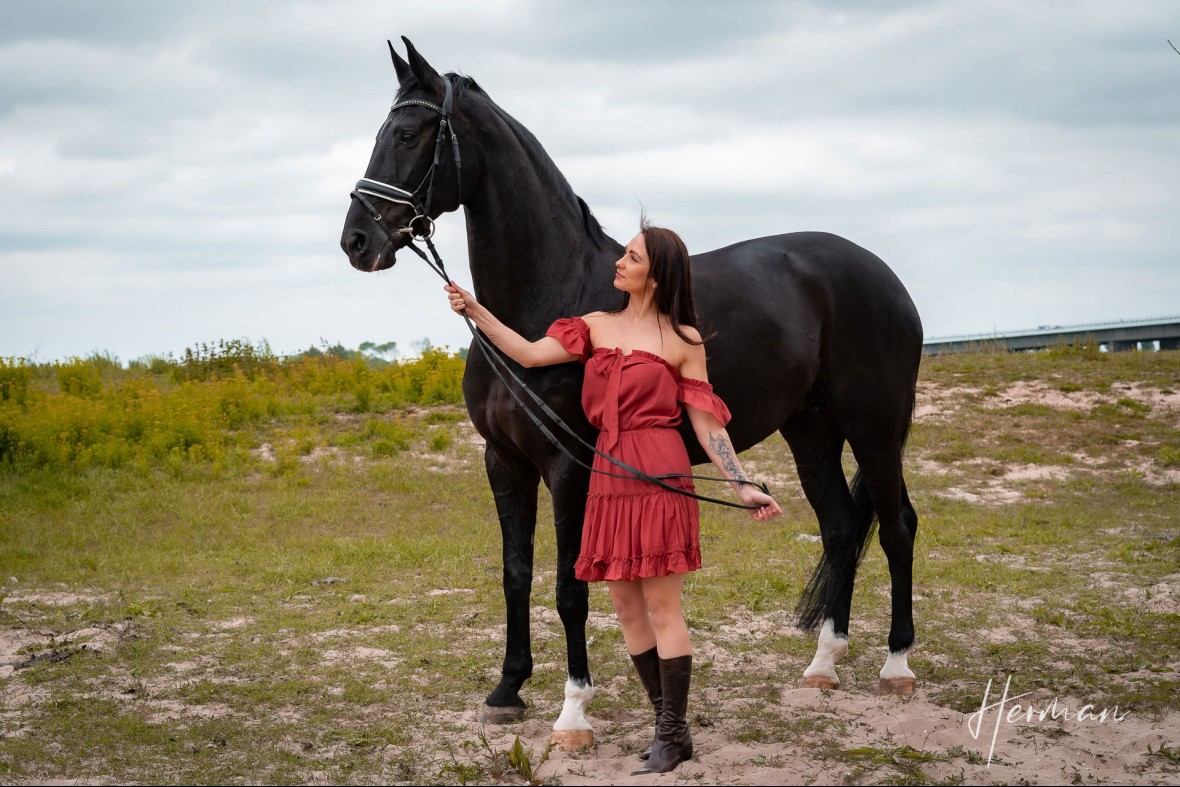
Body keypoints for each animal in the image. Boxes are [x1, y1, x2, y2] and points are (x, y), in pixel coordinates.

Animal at [342, 40, 920, 750]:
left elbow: (569, 586)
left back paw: (896, 664)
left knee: (896, 527)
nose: (357, 241)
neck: (544, 299)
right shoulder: (504, 463)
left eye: (406, 134)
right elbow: (514, 573)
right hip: (811, 430)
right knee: (840, 529)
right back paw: (823, 664)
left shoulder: (569, 468)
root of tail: (879, 273)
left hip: (874, 430)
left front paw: (573, 709)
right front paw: (507, 690)